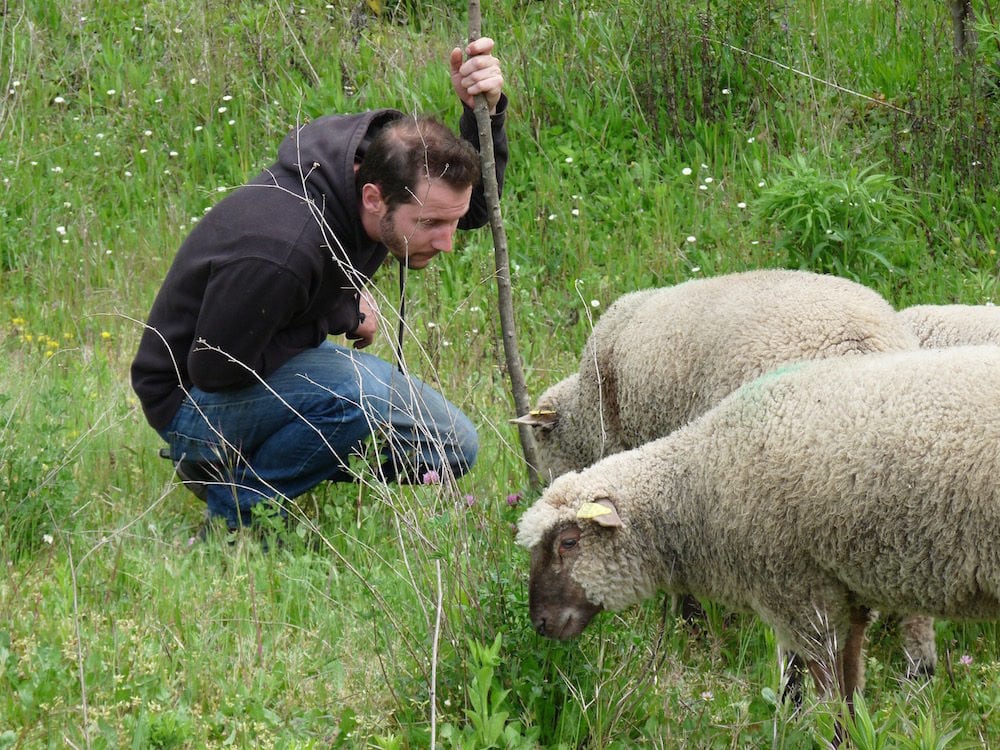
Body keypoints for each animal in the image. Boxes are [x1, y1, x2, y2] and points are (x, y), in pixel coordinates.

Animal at [520, 346, 1000, 748]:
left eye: (569, 542)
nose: (540, 623)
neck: (695, 488)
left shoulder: (802, 594)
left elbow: (828, 694)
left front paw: (825, 738)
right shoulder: (847, 592)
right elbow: (851, 690)